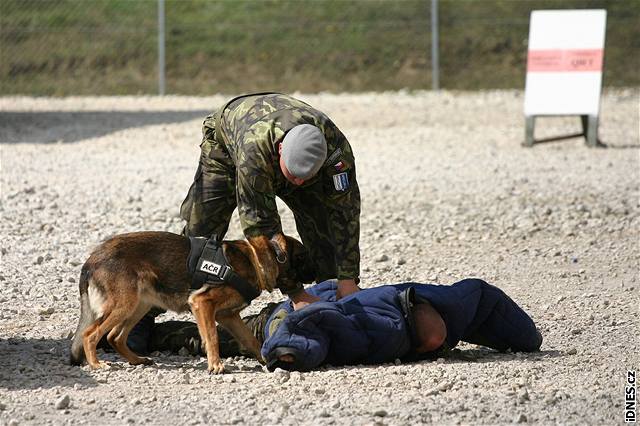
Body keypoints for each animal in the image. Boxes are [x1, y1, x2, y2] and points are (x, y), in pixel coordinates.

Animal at [69, 231, 312, 374]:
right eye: (304, 258)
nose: (318, 273)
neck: (256, 260)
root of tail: (91, 260)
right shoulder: (202, 303)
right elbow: (212, 337)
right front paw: (216, 365)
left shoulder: (228, 316)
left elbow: (251, 340)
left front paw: (265, 358)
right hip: (125, 305)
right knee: (91, 334)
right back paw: (96, 363)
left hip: (140, 305)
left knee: (114, 336)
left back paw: (137, 360)